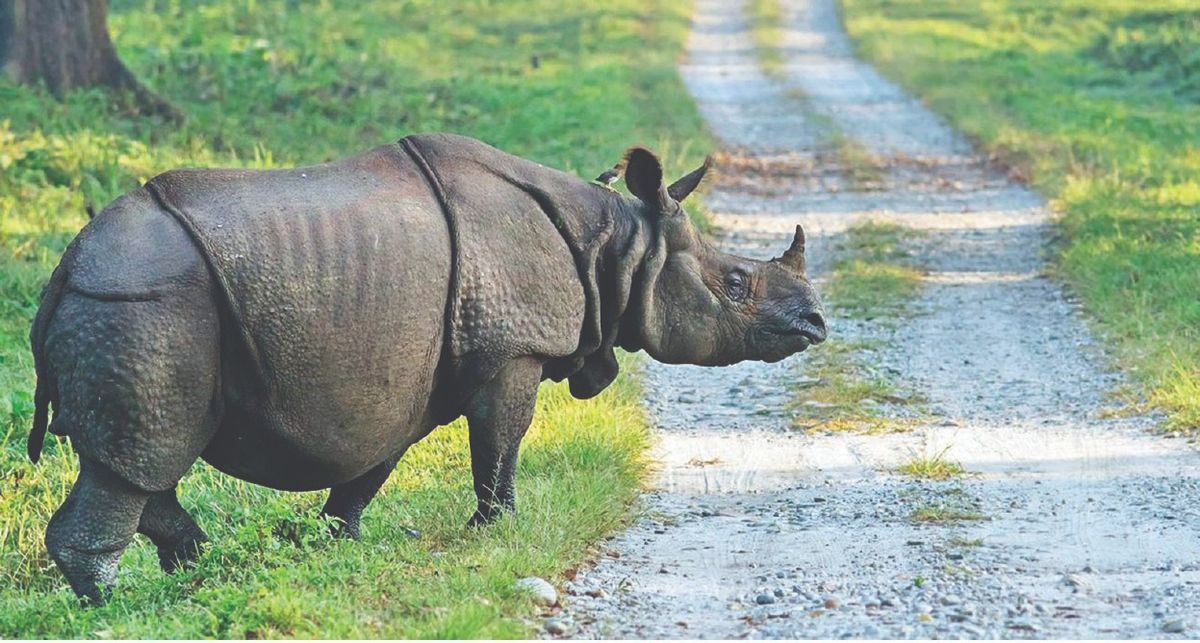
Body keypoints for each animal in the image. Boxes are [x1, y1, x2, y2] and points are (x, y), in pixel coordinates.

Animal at [26, 133, 826, 602]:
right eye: (735, 284)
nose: (816, 325)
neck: (619, 242)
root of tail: (65, 268)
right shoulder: (512, 347)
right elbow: (501, 439)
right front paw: (494, 531)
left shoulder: (411, 373)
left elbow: (372, 465)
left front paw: (334, 544)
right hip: (147, 304)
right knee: (138, 459)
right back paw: (118, 608)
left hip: (140, 305)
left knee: (144, 460)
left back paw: (197, 569)